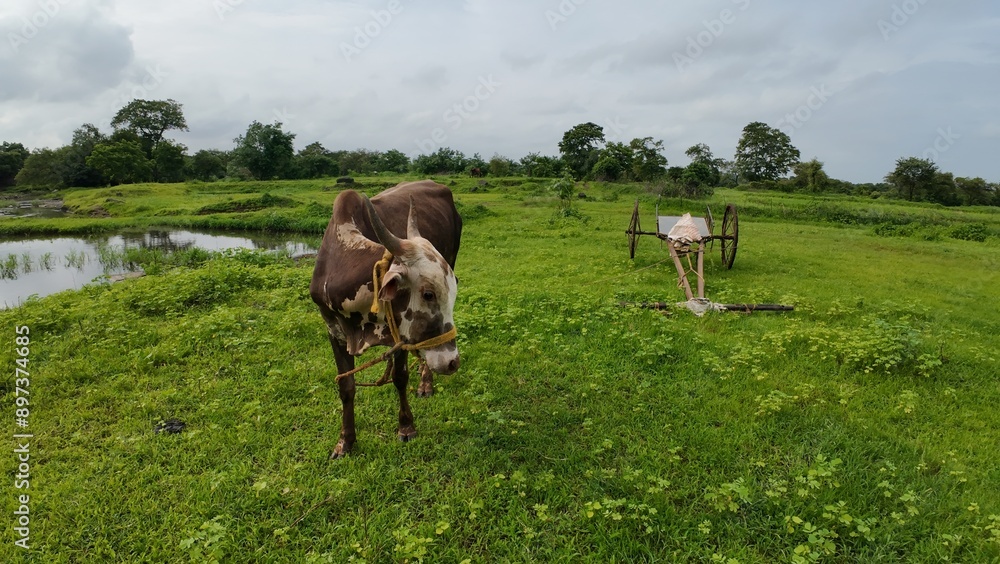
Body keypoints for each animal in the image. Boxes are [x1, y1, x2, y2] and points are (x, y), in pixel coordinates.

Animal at [310, 180, 462, 458]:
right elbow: (346, 386)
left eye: (453, 292)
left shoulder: (399, 335)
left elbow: (400, 378)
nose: (452, 362)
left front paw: (406, 427)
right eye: (428, 294)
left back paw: (426, 382)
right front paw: (345, 441)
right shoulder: (333, 330)